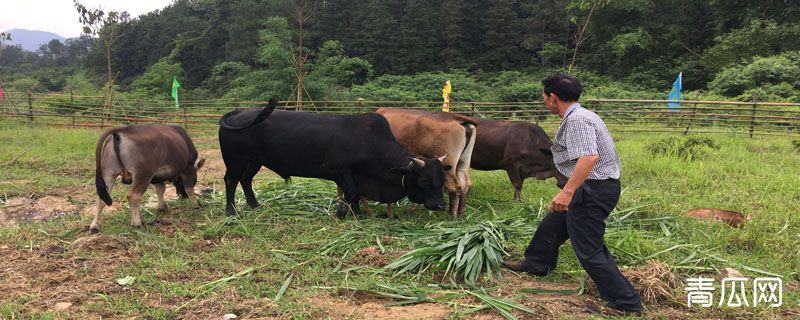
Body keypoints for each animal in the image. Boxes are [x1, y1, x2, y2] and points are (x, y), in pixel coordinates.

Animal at [219, 98, 450, 218]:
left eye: (442, 179)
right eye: (424, 179)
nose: (440, 205)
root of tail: (238, 111)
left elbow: (354, 195)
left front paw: (356, 214)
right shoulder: (339, 170)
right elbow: (351, 193)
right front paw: (341, 214)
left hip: (253, 161)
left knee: (246, 180)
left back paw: (254, 204)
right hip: (235, 161)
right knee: (231, 181)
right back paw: (231, 211)